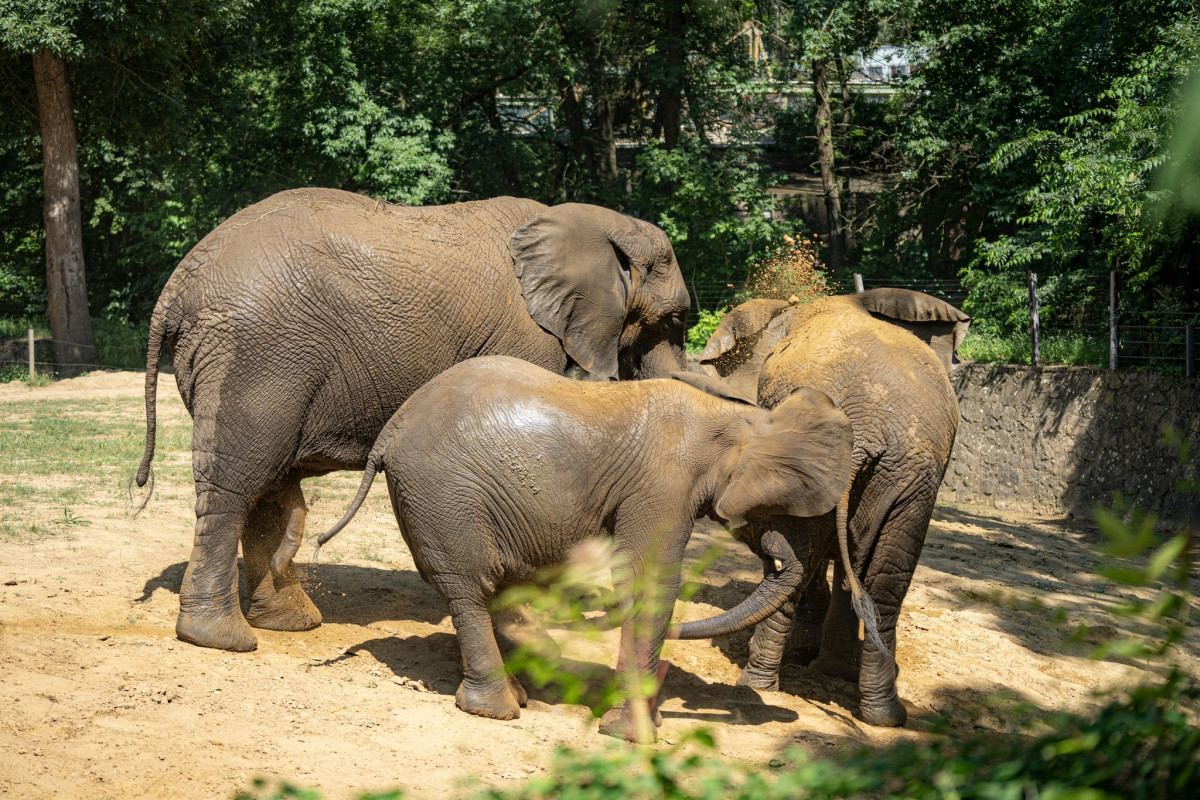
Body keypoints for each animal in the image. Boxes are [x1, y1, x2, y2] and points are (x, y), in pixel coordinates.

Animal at [135, 190, 691, 652]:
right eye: (673, 320)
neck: (593, 222)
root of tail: (177, 285)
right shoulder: (526, 333)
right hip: (256, 355)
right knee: (235, 482)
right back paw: (220, 638)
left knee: (265, 484)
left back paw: (289, 623)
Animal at [309, 357, 854, 743]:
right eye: (784, 508)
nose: (775, 553)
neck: (739, 417)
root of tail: (390, 431)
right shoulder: (662, 485)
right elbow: (647, 582)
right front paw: (634, 737)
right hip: (442, 494)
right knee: (469, 587)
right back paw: (499, 710)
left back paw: (519, 693)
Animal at [700, 291, 969, 729]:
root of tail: (863, 430)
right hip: (908, 480)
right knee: (884, 580)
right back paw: (883, 714)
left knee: (794, 563)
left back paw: (760, 684)